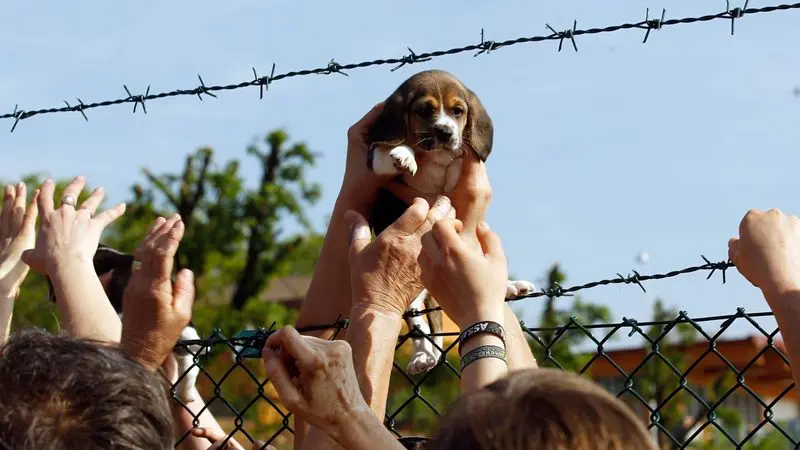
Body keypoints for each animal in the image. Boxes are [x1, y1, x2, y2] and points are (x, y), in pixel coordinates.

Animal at [370, 68, 536, 374]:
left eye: (458, 111)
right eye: (425, 110)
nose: (446, 132)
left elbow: (457, 164)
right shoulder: (375, 161)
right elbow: (386, 151)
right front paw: (405, 154)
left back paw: (509, 286)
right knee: (420, 323)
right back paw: (422, 356)